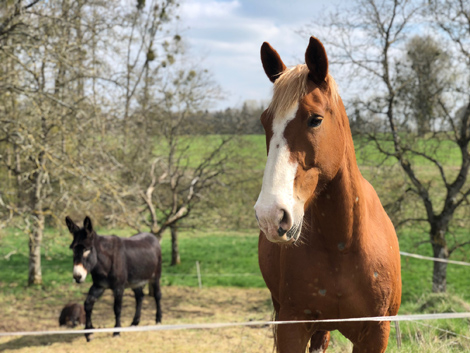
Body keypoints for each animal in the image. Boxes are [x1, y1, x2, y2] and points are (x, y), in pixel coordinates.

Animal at [255, 37, 402, 350]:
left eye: (315, 119)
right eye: (264, 121)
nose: (271, 215)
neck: (343, 244)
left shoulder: (376, 332)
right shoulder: (292, 327)